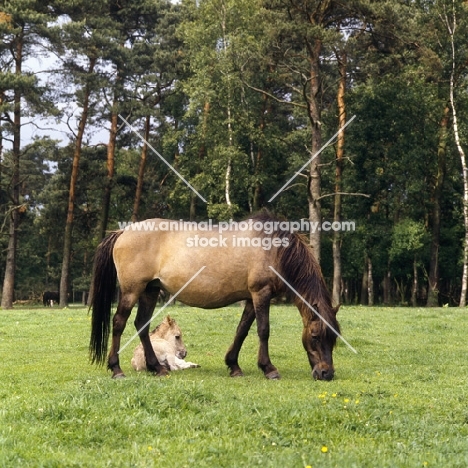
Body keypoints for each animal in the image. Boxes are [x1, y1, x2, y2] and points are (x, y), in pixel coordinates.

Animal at [88, 212, 340, 380]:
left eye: (334, 337)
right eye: (315, 336)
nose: (326, 373)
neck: (275, 249)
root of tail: (123, 232)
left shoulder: (251, 299)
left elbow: (242, 331)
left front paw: (233, 366)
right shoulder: (261, 294)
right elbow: (263, 330)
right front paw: (269, 369)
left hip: (150, 290)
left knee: (142, 324)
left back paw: (156, 368)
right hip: (132, 290)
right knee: (119, 323)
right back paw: (116, 369)